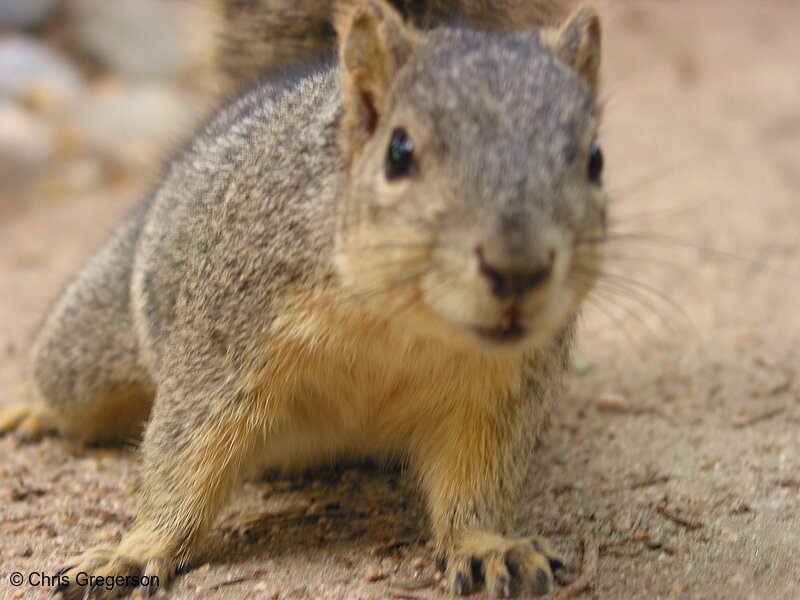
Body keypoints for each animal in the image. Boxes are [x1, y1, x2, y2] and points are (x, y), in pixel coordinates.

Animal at [0, 2, 604, 596]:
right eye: (399, 152)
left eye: (596, 158)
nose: (518, 268)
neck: (403, 319)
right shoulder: (226, 334)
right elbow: (186, 451)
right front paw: (138, 547)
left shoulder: (501, 388)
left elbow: (479, 475)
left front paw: (487, 545)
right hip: (89, 348)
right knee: (72, 384)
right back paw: (35, 412)